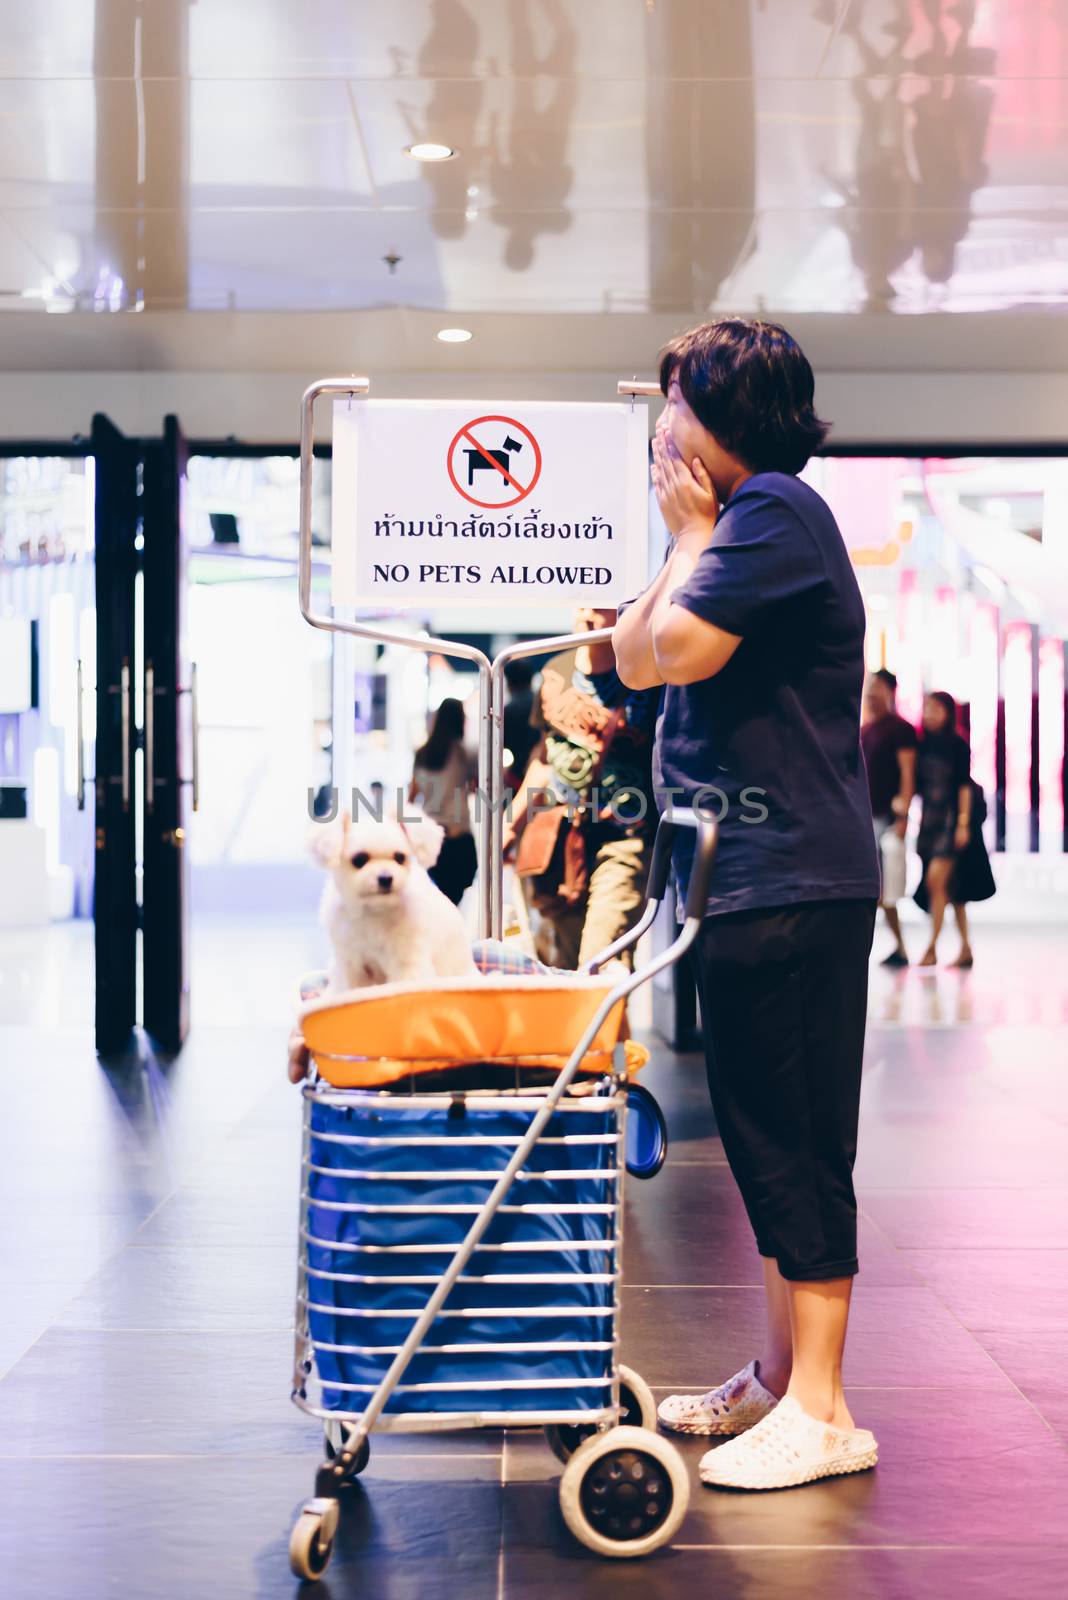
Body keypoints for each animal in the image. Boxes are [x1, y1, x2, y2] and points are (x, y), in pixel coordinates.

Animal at [308, 812, 476, 985]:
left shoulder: (407, 961)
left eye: (400, 857)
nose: (386, 878)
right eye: (359, 859)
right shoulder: (352, 964)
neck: (374, 910)